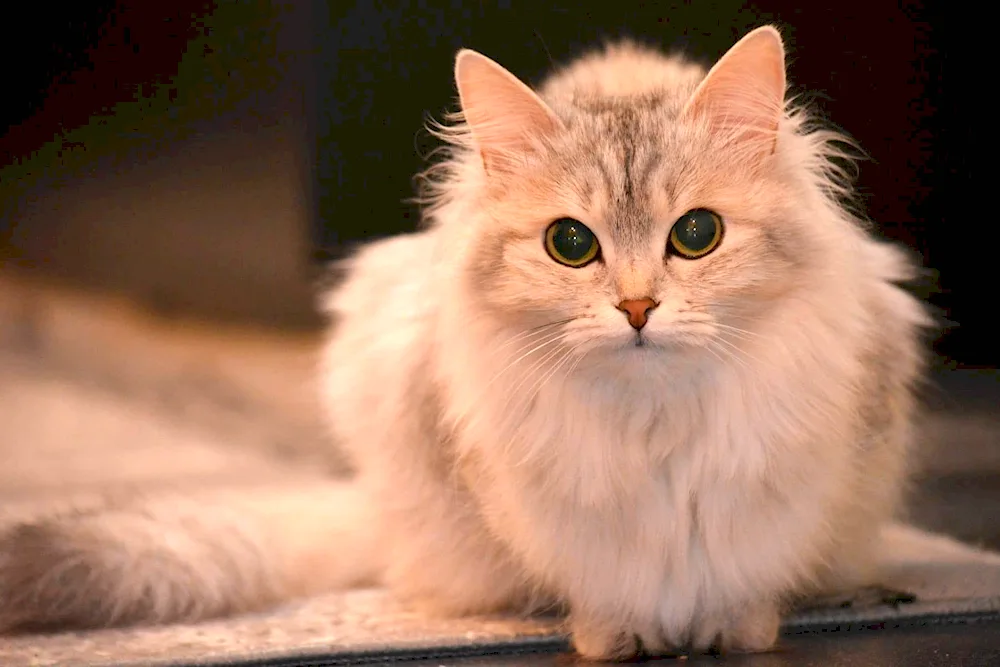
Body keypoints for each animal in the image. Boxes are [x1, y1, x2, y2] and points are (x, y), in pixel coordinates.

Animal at [0, 24, 928, 656]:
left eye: (697, 235)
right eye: (570, 244)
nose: (637, 308)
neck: (653, 419)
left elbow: (743, 581)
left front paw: (734, 629)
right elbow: (607, 591)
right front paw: (619, 634)